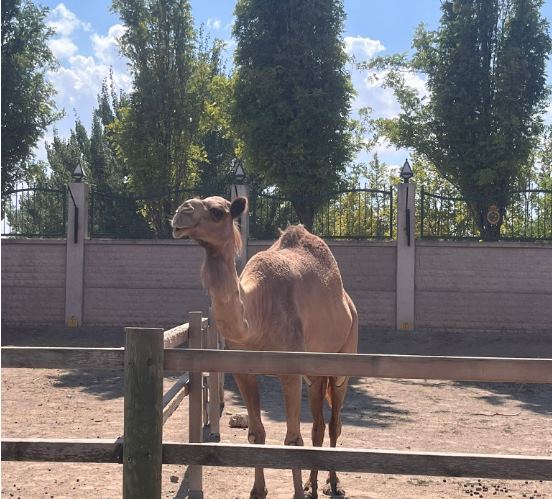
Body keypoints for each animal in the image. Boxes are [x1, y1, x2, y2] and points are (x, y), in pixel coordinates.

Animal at [171, 196, 358, 499]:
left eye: (217, 212)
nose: (181, 212)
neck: (256, 314)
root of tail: (348, 303)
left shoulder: (290, 370)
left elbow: (293, 439)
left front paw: (296, 493)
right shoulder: (242, 370)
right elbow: (256, 433)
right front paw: (258, 490)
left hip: (344, 358)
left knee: (334, 423)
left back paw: (333, 484)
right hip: (315, 373)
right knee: (318, 424)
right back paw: (312, 485)